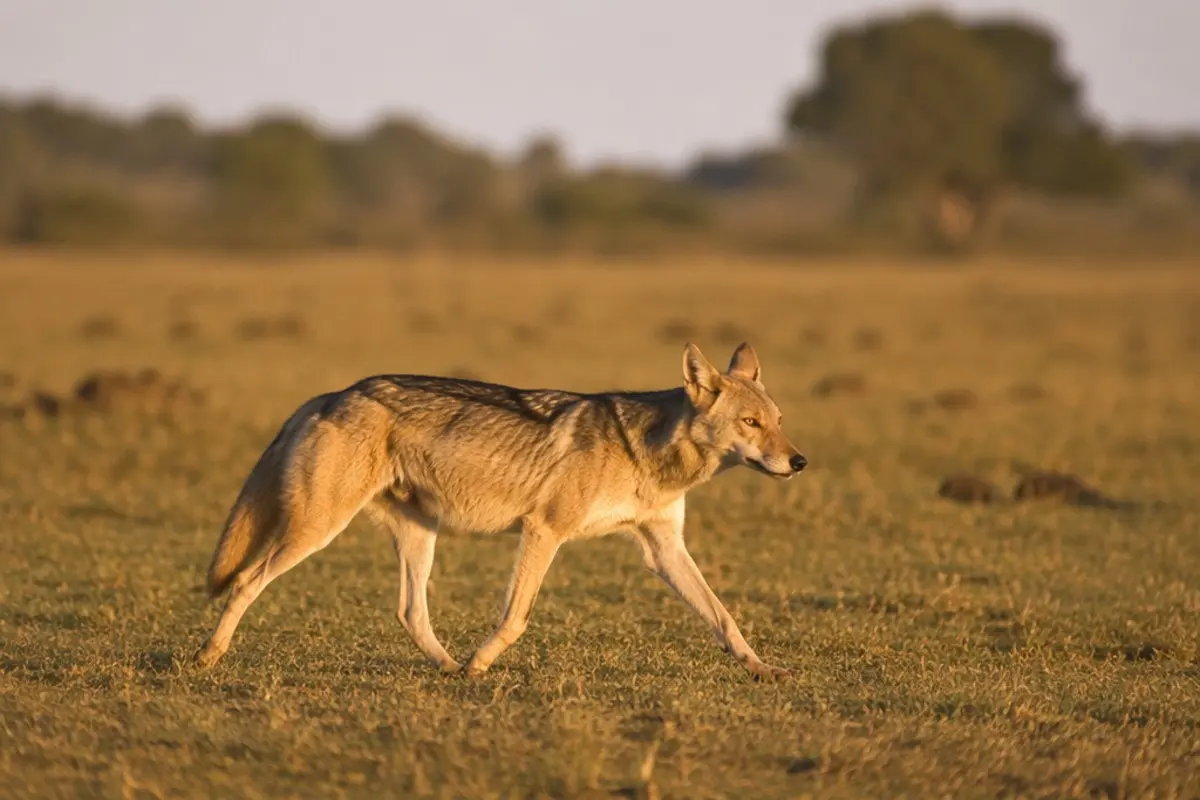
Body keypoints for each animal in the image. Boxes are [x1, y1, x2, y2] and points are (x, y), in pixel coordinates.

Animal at [193, 342, 807, 680]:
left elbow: (724, 617)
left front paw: (761, 668)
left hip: (420, 536)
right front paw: (483, 663)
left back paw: (448, 668)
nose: (799, 461)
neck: (648, 455)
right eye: (751, 423)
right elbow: (516, 618)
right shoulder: (544, 530)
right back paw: (207, 656)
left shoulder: (663, 550)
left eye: (778, 420)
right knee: (244, 581)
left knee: (409, 612)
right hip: (316, 530)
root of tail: (331, 395)